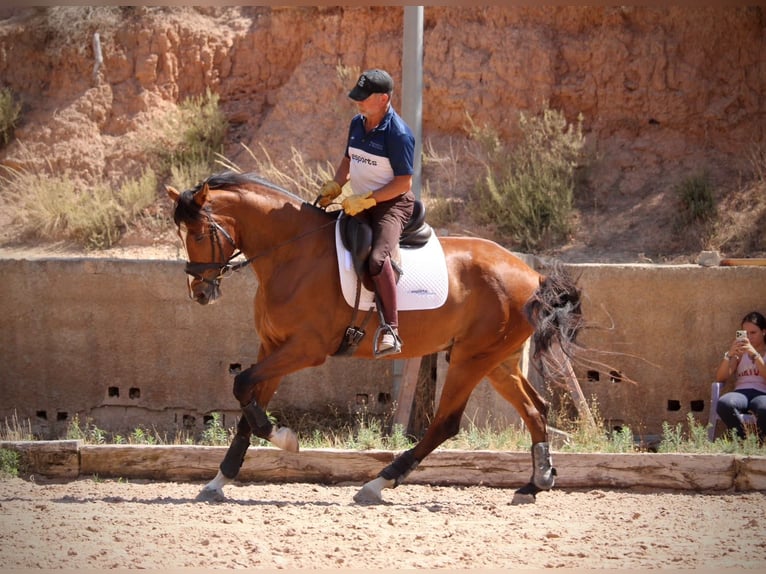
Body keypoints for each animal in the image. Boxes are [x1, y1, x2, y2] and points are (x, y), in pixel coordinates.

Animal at [165, 171, 583, 505]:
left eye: (199, 233)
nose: (198, 292)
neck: (293, 254)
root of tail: (531, 274)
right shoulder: (272, 345)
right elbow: (248, 406)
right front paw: (219, 480)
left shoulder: (305, 349)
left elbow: (242, 384)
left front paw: (284, 437)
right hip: (498, 360)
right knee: (536, 409)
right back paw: (536, 483)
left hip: (471, 358)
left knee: (446, 423)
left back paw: (377, 484)